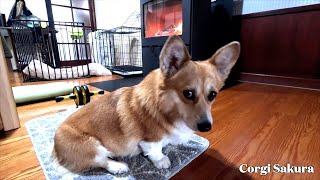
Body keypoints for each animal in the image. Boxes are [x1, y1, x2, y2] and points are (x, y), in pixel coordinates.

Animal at [53, 35, 240, 174]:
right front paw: (162, 160)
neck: (166, 107)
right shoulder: (150, 138)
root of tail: (54, 148)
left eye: (213, 95)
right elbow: (155, 150)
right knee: (100, 161)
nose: (206, 127)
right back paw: (118, 166)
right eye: (188, 93)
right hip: (92, 146)